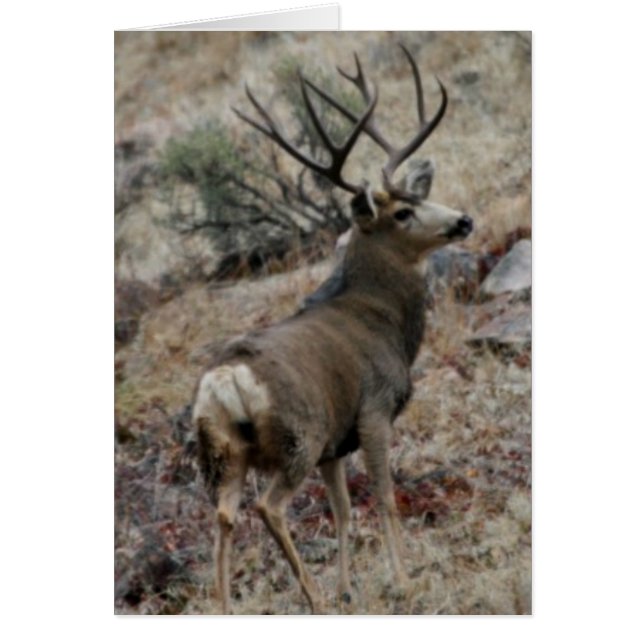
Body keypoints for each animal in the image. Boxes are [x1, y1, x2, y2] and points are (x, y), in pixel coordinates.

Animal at [192, 45, 473, 614]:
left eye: (419, 195)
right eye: (403, 211)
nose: (463, 220)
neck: (381, 317)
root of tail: (225, 381)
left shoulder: (333, 450)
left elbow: (343, 510)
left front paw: (348, 587)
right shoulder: (373, 411)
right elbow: (385, 496)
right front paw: (402, 580)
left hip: (225, 453)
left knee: (225, 515)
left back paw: (234, 606)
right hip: (298, 435)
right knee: (268, 507)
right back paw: (313, 597)